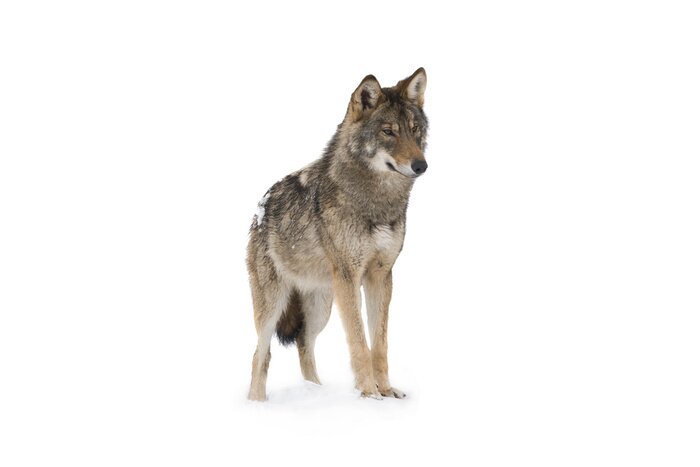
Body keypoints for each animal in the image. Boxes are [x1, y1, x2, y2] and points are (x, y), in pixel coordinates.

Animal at [246, 68, 429, 401]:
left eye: (414, 129)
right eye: (388, 132)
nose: (421, 165)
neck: (376, 203)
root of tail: (259, 209)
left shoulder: (381, 276)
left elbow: (379, 344)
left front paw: (386, 391)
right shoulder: (349, 276)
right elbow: (359, 342)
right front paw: (369, 394)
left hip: (322, 308)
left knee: (304, 344)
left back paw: (314, 391)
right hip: (274, 306)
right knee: (260, 355)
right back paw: (258, 403)